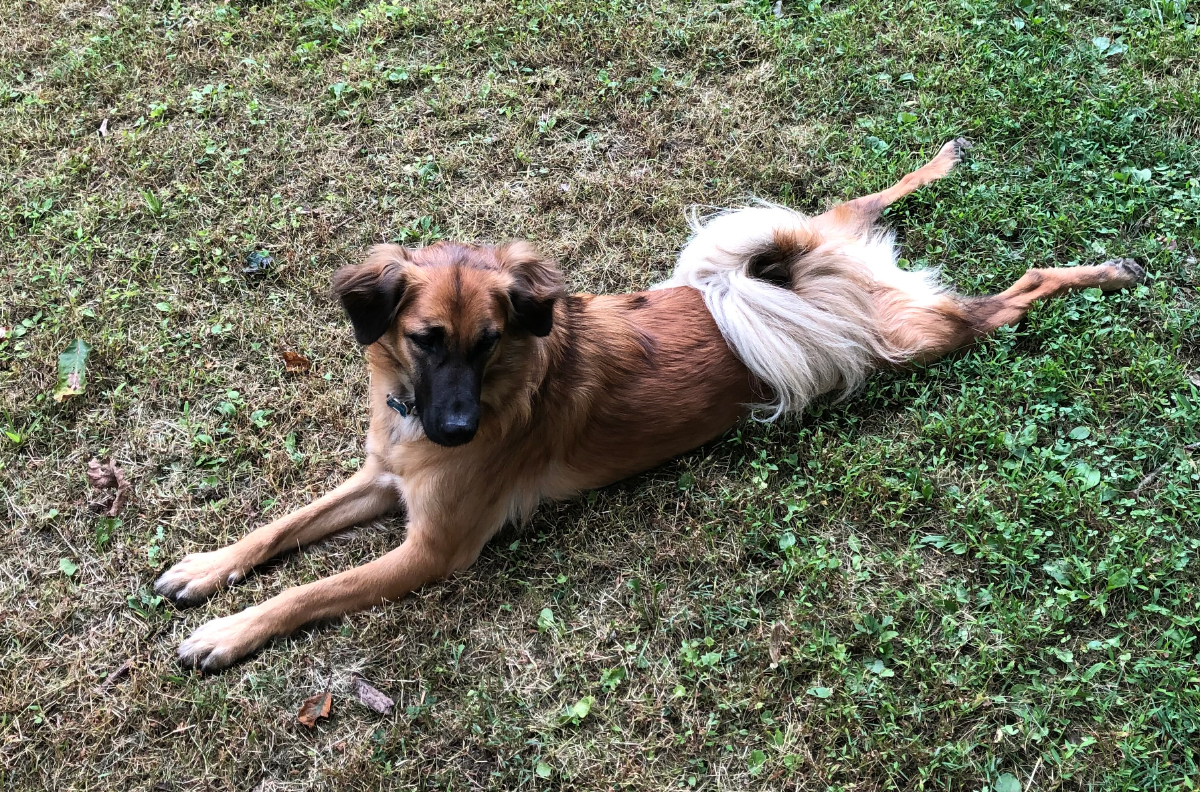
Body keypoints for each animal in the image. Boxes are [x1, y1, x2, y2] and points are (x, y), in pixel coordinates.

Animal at [157, 141, 1142, 667]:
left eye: (491, 341)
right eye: (427, 338)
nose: (458, 430)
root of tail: (810, 278)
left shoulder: (431, 549)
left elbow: (309, 589)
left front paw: (230, 630)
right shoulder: (380, 478)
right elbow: (279, 530)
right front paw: (207, 568)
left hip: (916, 335)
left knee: (1013, 293)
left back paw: (1100, 270)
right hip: (821, 234)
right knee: (860, 200)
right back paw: (942, 160)